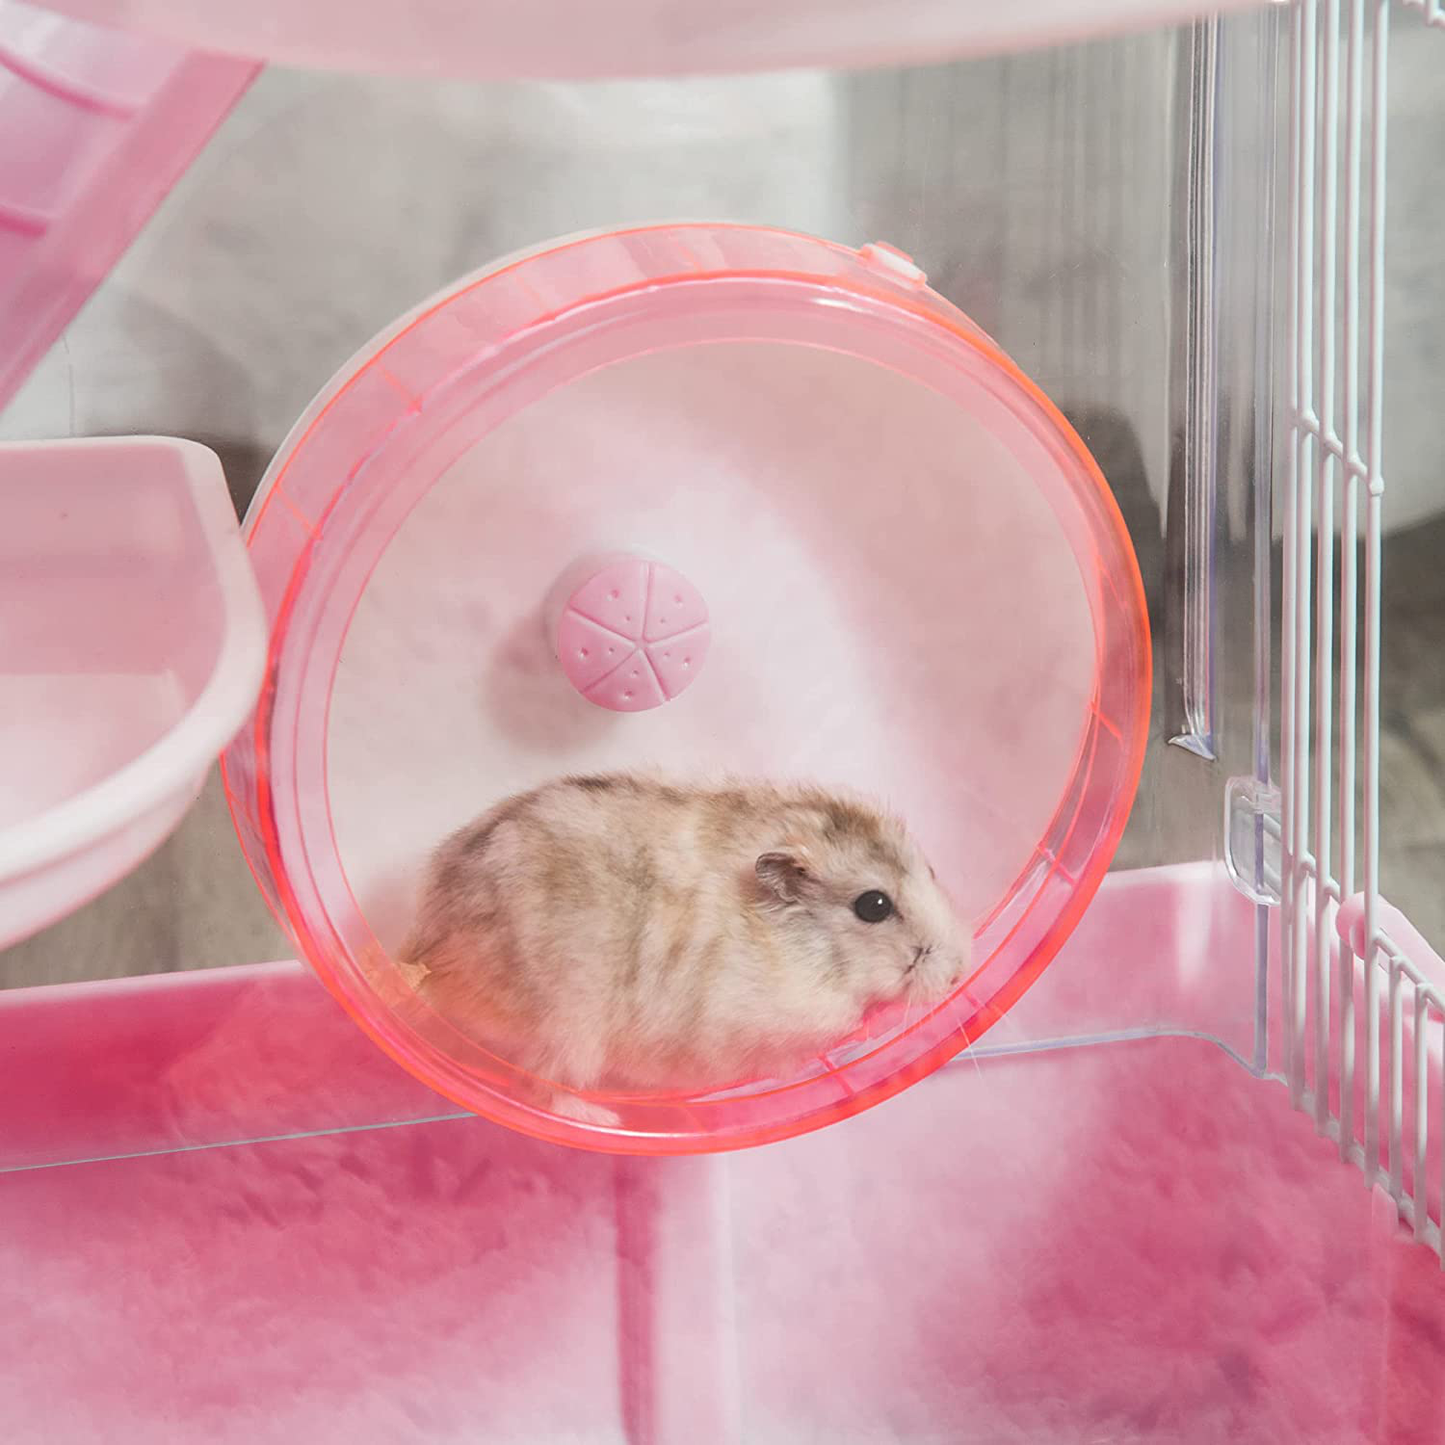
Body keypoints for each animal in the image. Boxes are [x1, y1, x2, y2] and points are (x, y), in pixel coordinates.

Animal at [399, 773, 969, 1112]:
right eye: (874, 905)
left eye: (932, 870)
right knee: (541, 1088)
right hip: (568, 1023)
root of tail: (424, 954)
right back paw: (602, 1117)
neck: (804, 948)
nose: (960, 973)